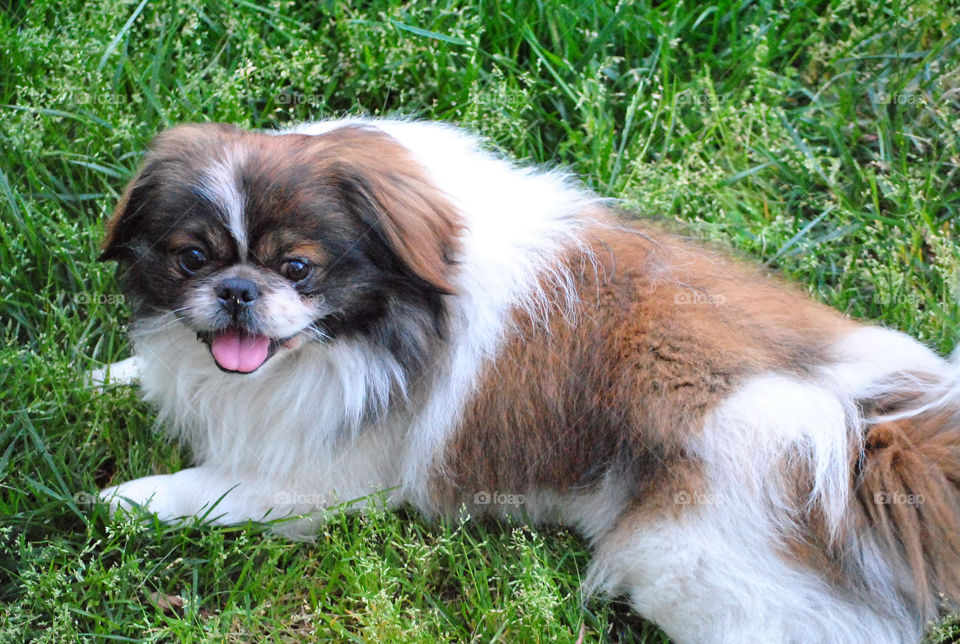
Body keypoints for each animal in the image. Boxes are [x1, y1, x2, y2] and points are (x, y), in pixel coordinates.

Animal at [92, 118, 960, 640]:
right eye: (191, 259)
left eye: (298, 269)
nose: (239, 291)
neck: (383, 325)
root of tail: (864, 433)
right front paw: (110, 376)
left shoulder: (323, 481)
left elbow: (205, 489)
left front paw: (123, 502)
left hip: (687, 568)